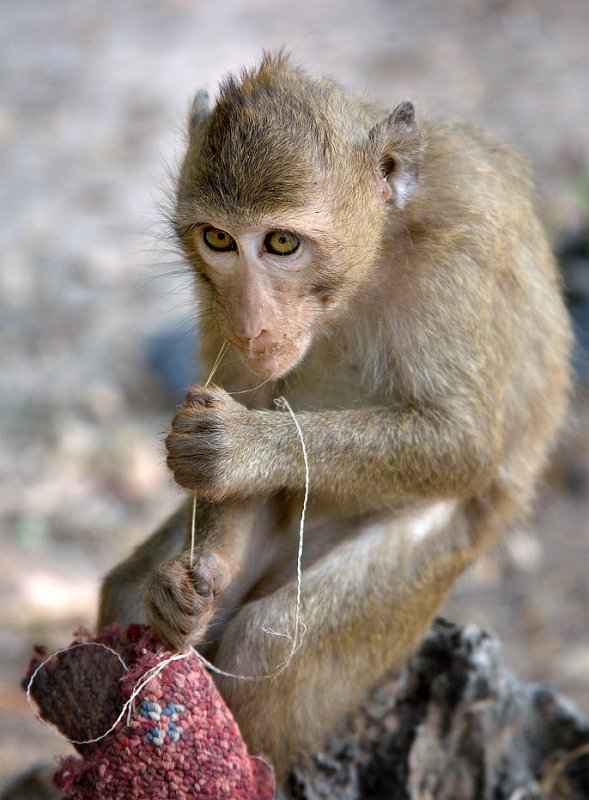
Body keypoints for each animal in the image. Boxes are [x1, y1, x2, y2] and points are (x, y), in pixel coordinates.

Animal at [97, 54, 568, 780]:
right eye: (218, 240)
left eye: (282, 242)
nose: (249, 323)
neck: (374, 254)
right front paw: (189, 588)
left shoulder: (464, 246)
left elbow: (463, 444)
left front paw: (241, 446)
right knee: (126, 596)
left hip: (437, 560)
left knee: (271, 641)